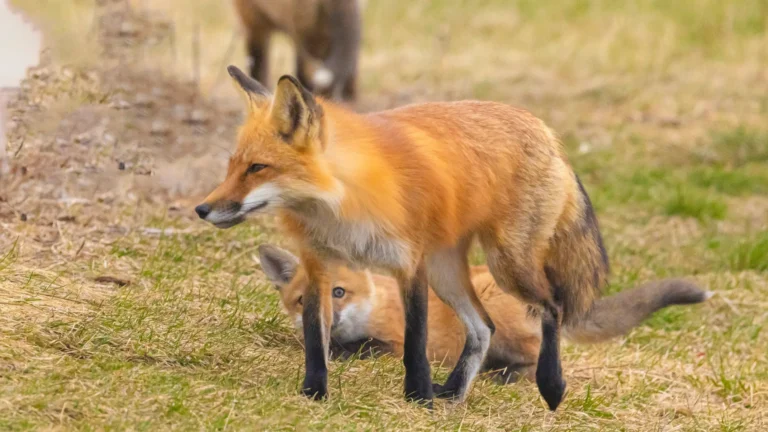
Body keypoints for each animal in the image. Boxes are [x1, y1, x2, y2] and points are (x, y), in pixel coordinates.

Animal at [199, 65, 626, 410]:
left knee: (552, 307)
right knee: (483, 328)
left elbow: (414, 343)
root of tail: (542, 128)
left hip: (505, 265)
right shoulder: (318, 265)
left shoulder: (409, 264)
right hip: (446, 271)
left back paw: (550, 385)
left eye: (258, 168)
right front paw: (313, 395)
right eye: (232, 167)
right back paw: (453, 393)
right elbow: (316, 345)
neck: (342, 208)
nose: (202, 209)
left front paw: (418, 397)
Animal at [258, 244, 712, 382]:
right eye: (303, 300)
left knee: (537, 360)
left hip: (499, 320)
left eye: (339, 292)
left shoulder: (397, 342)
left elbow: (365, 349)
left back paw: (504, 375)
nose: (327, 322)